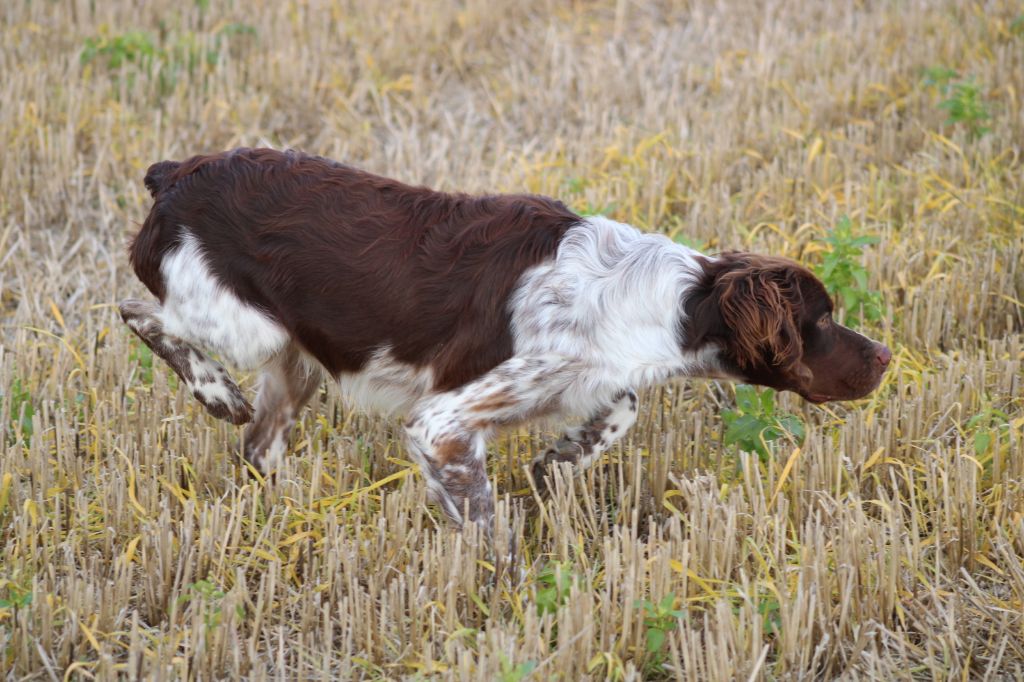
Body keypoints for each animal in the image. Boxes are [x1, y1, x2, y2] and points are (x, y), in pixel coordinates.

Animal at [117, 146, 888, 522]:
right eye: (821, 321)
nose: (884, 356)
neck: (656, 296)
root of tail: (176, 174)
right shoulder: (443, 422)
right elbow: (488, 526)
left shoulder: (581, 377)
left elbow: (622, 406)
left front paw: (561, 461)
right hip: (243, 324)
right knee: (137, 312)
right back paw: (216, 392)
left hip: (294, 359)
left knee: (258, 446)